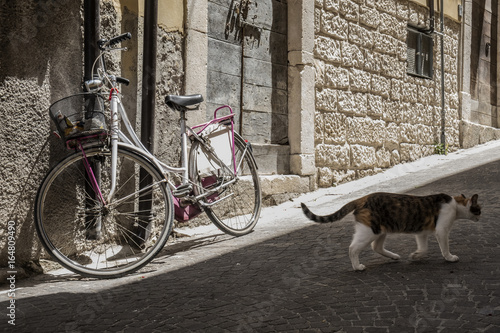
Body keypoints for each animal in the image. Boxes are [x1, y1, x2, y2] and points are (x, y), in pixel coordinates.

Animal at [300, 192, 480, 270]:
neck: (455, 204)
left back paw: (394, 256)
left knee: (376, 247)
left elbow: (423, 248)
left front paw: (415, 256)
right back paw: (357, 266)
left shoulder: (421, 232)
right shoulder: (442, 230)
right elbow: (444, 247)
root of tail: (362, 198)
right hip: (370, 231)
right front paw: (450, 257)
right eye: (479, 209)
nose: (481, 216)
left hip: (381, 230)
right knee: (353, 248)